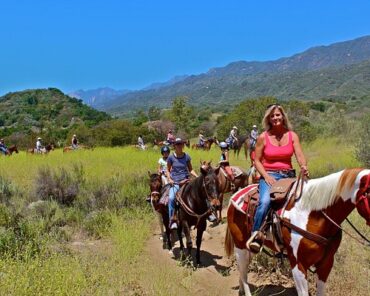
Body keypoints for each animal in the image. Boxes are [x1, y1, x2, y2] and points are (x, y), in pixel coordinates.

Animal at [225, 169, 370, 296]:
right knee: (243, 272)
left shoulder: (327, 263)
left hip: (248, 248)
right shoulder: (298, 264)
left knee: (243, 270)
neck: (313, 213)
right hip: (240, 246)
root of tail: (235, 196)